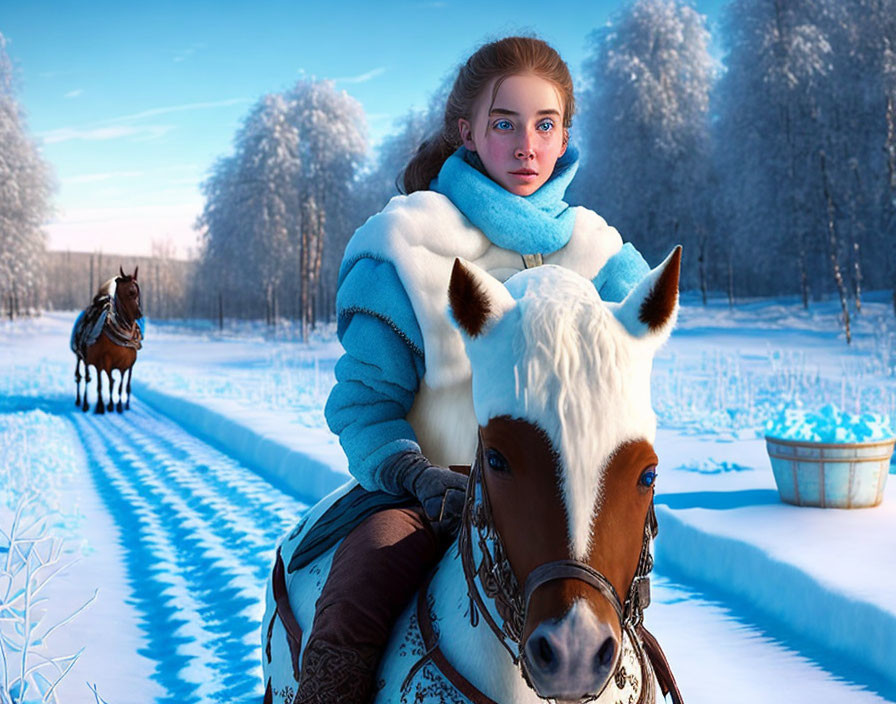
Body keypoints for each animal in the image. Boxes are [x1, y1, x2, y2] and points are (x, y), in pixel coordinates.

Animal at [72, 268, 144, 412]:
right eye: (129, 291)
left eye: (137, 291)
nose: (138, 313)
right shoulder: (105, 361)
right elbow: (110, 382)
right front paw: (106, 406)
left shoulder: (127, 364)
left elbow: (122, 384)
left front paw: (121, 405)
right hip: (82, 356)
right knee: (81, 377)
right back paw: (82, 402)